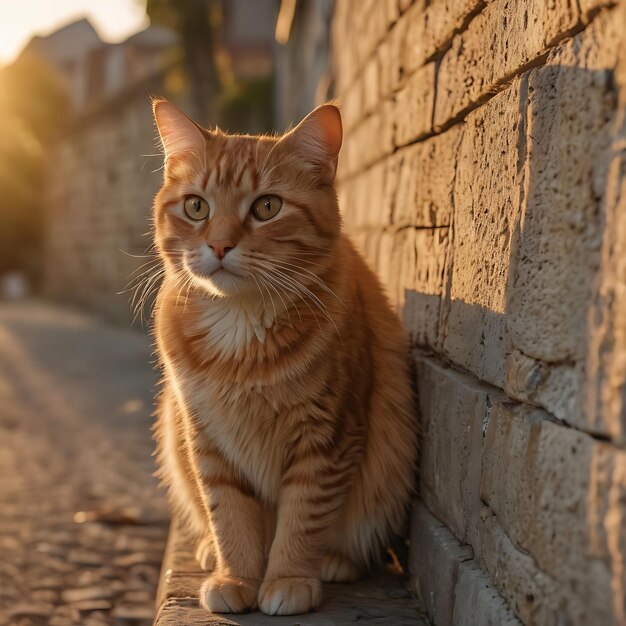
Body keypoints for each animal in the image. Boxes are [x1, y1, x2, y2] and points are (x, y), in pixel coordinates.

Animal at [149, 100, 416, 612]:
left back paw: (334, 561)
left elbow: (302, 517)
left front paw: (289, 577)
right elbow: (229, 516)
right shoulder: (206, 438)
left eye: (266, 207)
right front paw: (235, 576)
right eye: (197, 206)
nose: (219, 245)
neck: (239, 328)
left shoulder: (328, 437)